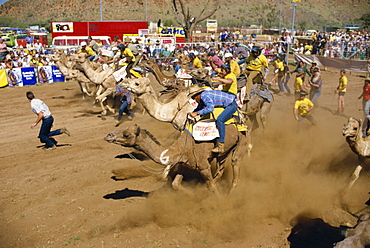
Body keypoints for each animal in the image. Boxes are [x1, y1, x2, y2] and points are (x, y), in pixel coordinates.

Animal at [105, 123, 251, 194]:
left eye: (126, 135)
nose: (108, 135)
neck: (181, 148)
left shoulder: (203, 166)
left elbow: (212, 187)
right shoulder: (184, 165)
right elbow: (175, 184)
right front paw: (193, 195)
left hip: (242, 140)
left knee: (235, 165)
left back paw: (230, 195)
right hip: (223, 152)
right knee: (220, 170)